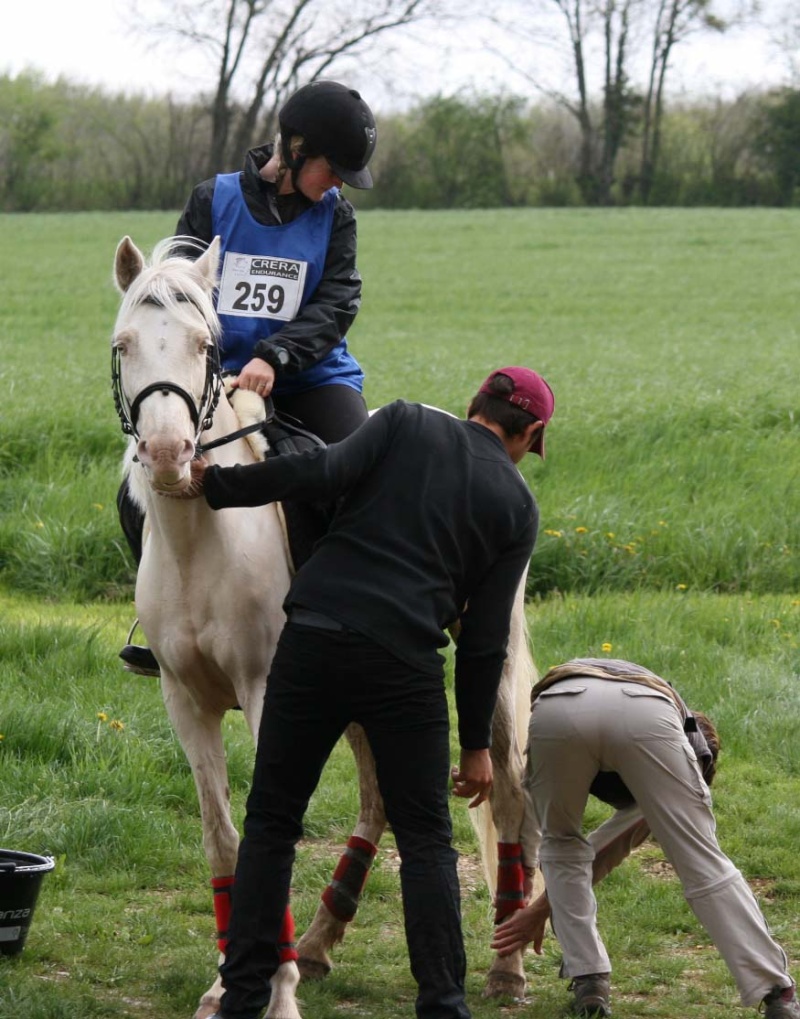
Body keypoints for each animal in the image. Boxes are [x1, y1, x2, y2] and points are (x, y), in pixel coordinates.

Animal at [112, 236, 542, 1019]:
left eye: (203, 345)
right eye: (125, 344)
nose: (165, 455)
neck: (202, 542)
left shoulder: (269, 694)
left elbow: (269, 834)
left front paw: (272, 992)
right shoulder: (185, 702)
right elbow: (225, 839)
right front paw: (227, 980)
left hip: (486, 661)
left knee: (508, 793)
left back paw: (507, 963)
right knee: (380, 799)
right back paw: (316, 941)